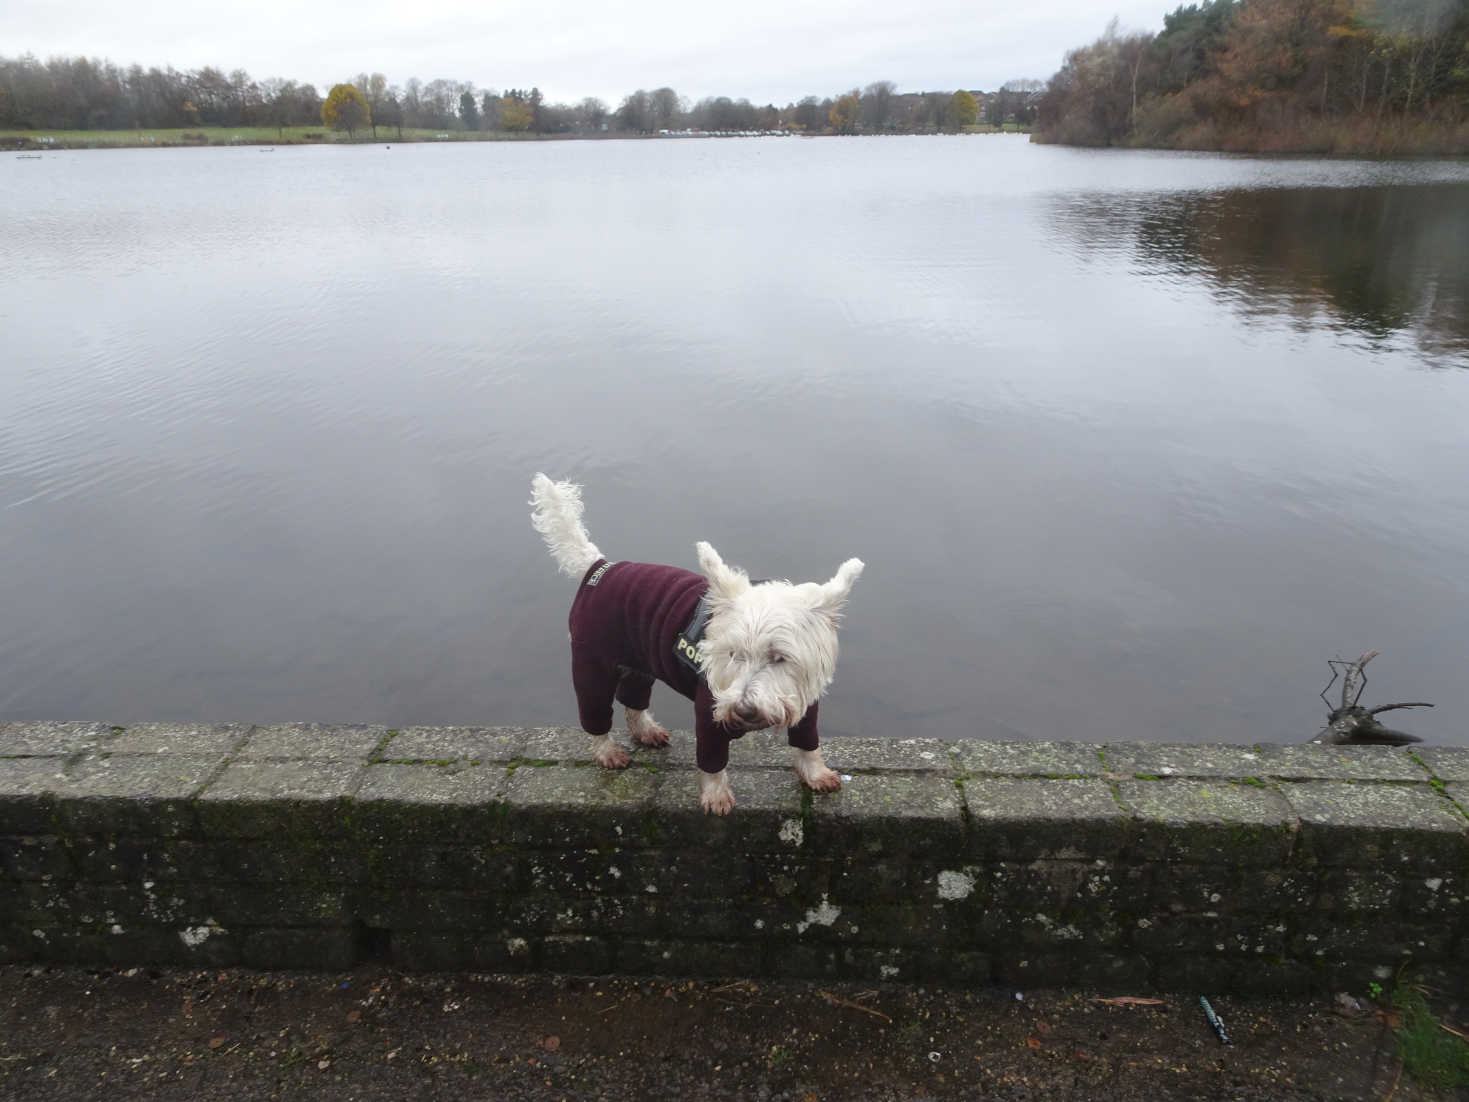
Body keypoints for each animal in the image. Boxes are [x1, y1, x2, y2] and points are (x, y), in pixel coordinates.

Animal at [534, 470, 863, 816]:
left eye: (779, 657)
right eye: (732, 654)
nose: (744, 710)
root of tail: (599, 568)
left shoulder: (808, 702)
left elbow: (807, 741)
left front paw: (816, 774)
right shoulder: (709, 708)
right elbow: (712, 759)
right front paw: (716, 797)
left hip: (639, 663)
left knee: (633, 699)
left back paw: (647, 731)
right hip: (593, 662)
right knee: (595, 711)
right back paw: (607, 751)